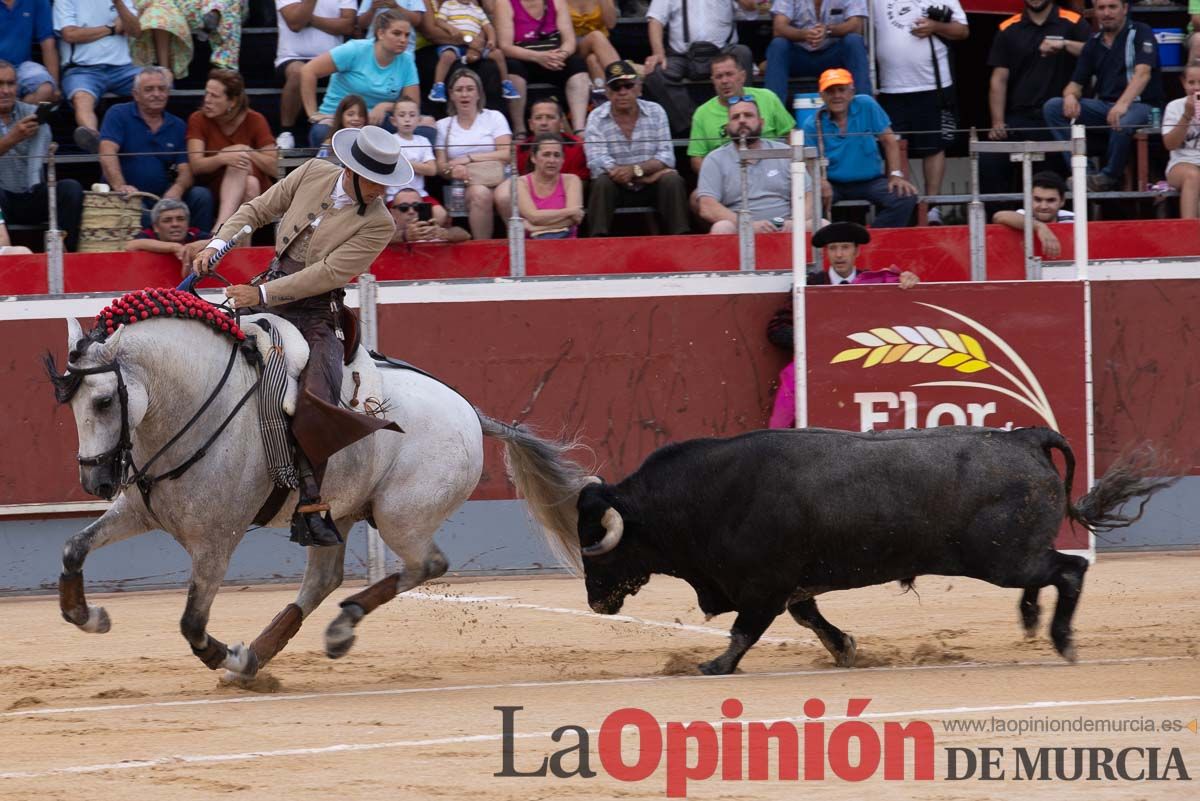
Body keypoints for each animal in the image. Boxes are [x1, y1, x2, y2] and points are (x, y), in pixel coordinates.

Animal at [48, 309, 590, 681]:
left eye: (103, 400)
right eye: (70, 404)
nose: (96, 483)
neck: (199, 405)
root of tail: (470, 412)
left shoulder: (215, 541)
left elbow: (192, 623)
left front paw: (227, 655)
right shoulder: (140, 511)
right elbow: (73, 546)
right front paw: (88, 616)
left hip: (401, 516)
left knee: (427, 564)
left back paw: (323, 633)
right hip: (338, 513)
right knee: (325, 579)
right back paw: (270, 650)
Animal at [576, 424, 1176, 676]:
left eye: (598, 547)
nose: (595, 603)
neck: (705, 496)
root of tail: (1023, 437)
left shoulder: (764, 585)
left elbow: (746, 629)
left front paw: (714, 666)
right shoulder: (792, 584)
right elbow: (808, 616)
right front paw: (846, 650)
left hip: (1001, 559)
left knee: (1068, 569)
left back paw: (1061, 640)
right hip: (1011, 557)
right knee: (1048, 575)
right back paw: (1033, 623)